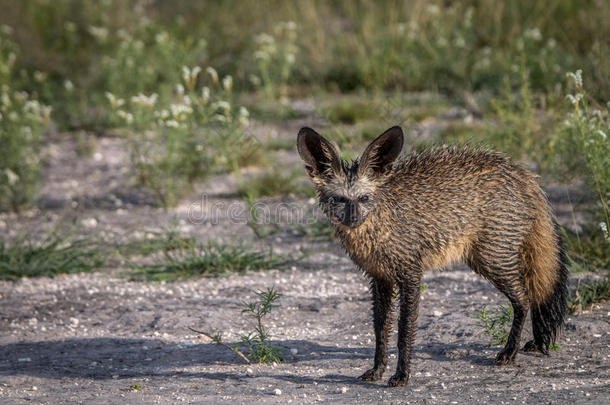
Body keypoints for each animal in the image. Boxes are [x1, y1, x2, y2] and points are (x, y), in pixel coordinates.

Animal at [296, 125, 568, 386]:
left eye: (364, 198)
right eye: (339, 199)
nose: (352, 219)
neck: (379, 231)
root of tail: (523, 174)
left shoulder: (410, 274)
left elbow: (405, 331)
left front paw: (402, 375)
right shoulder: (380, 278)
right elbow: (380, 330)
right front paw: (378, 370)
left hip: (492, 260)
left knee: (524, 299)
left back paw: (510, 352)